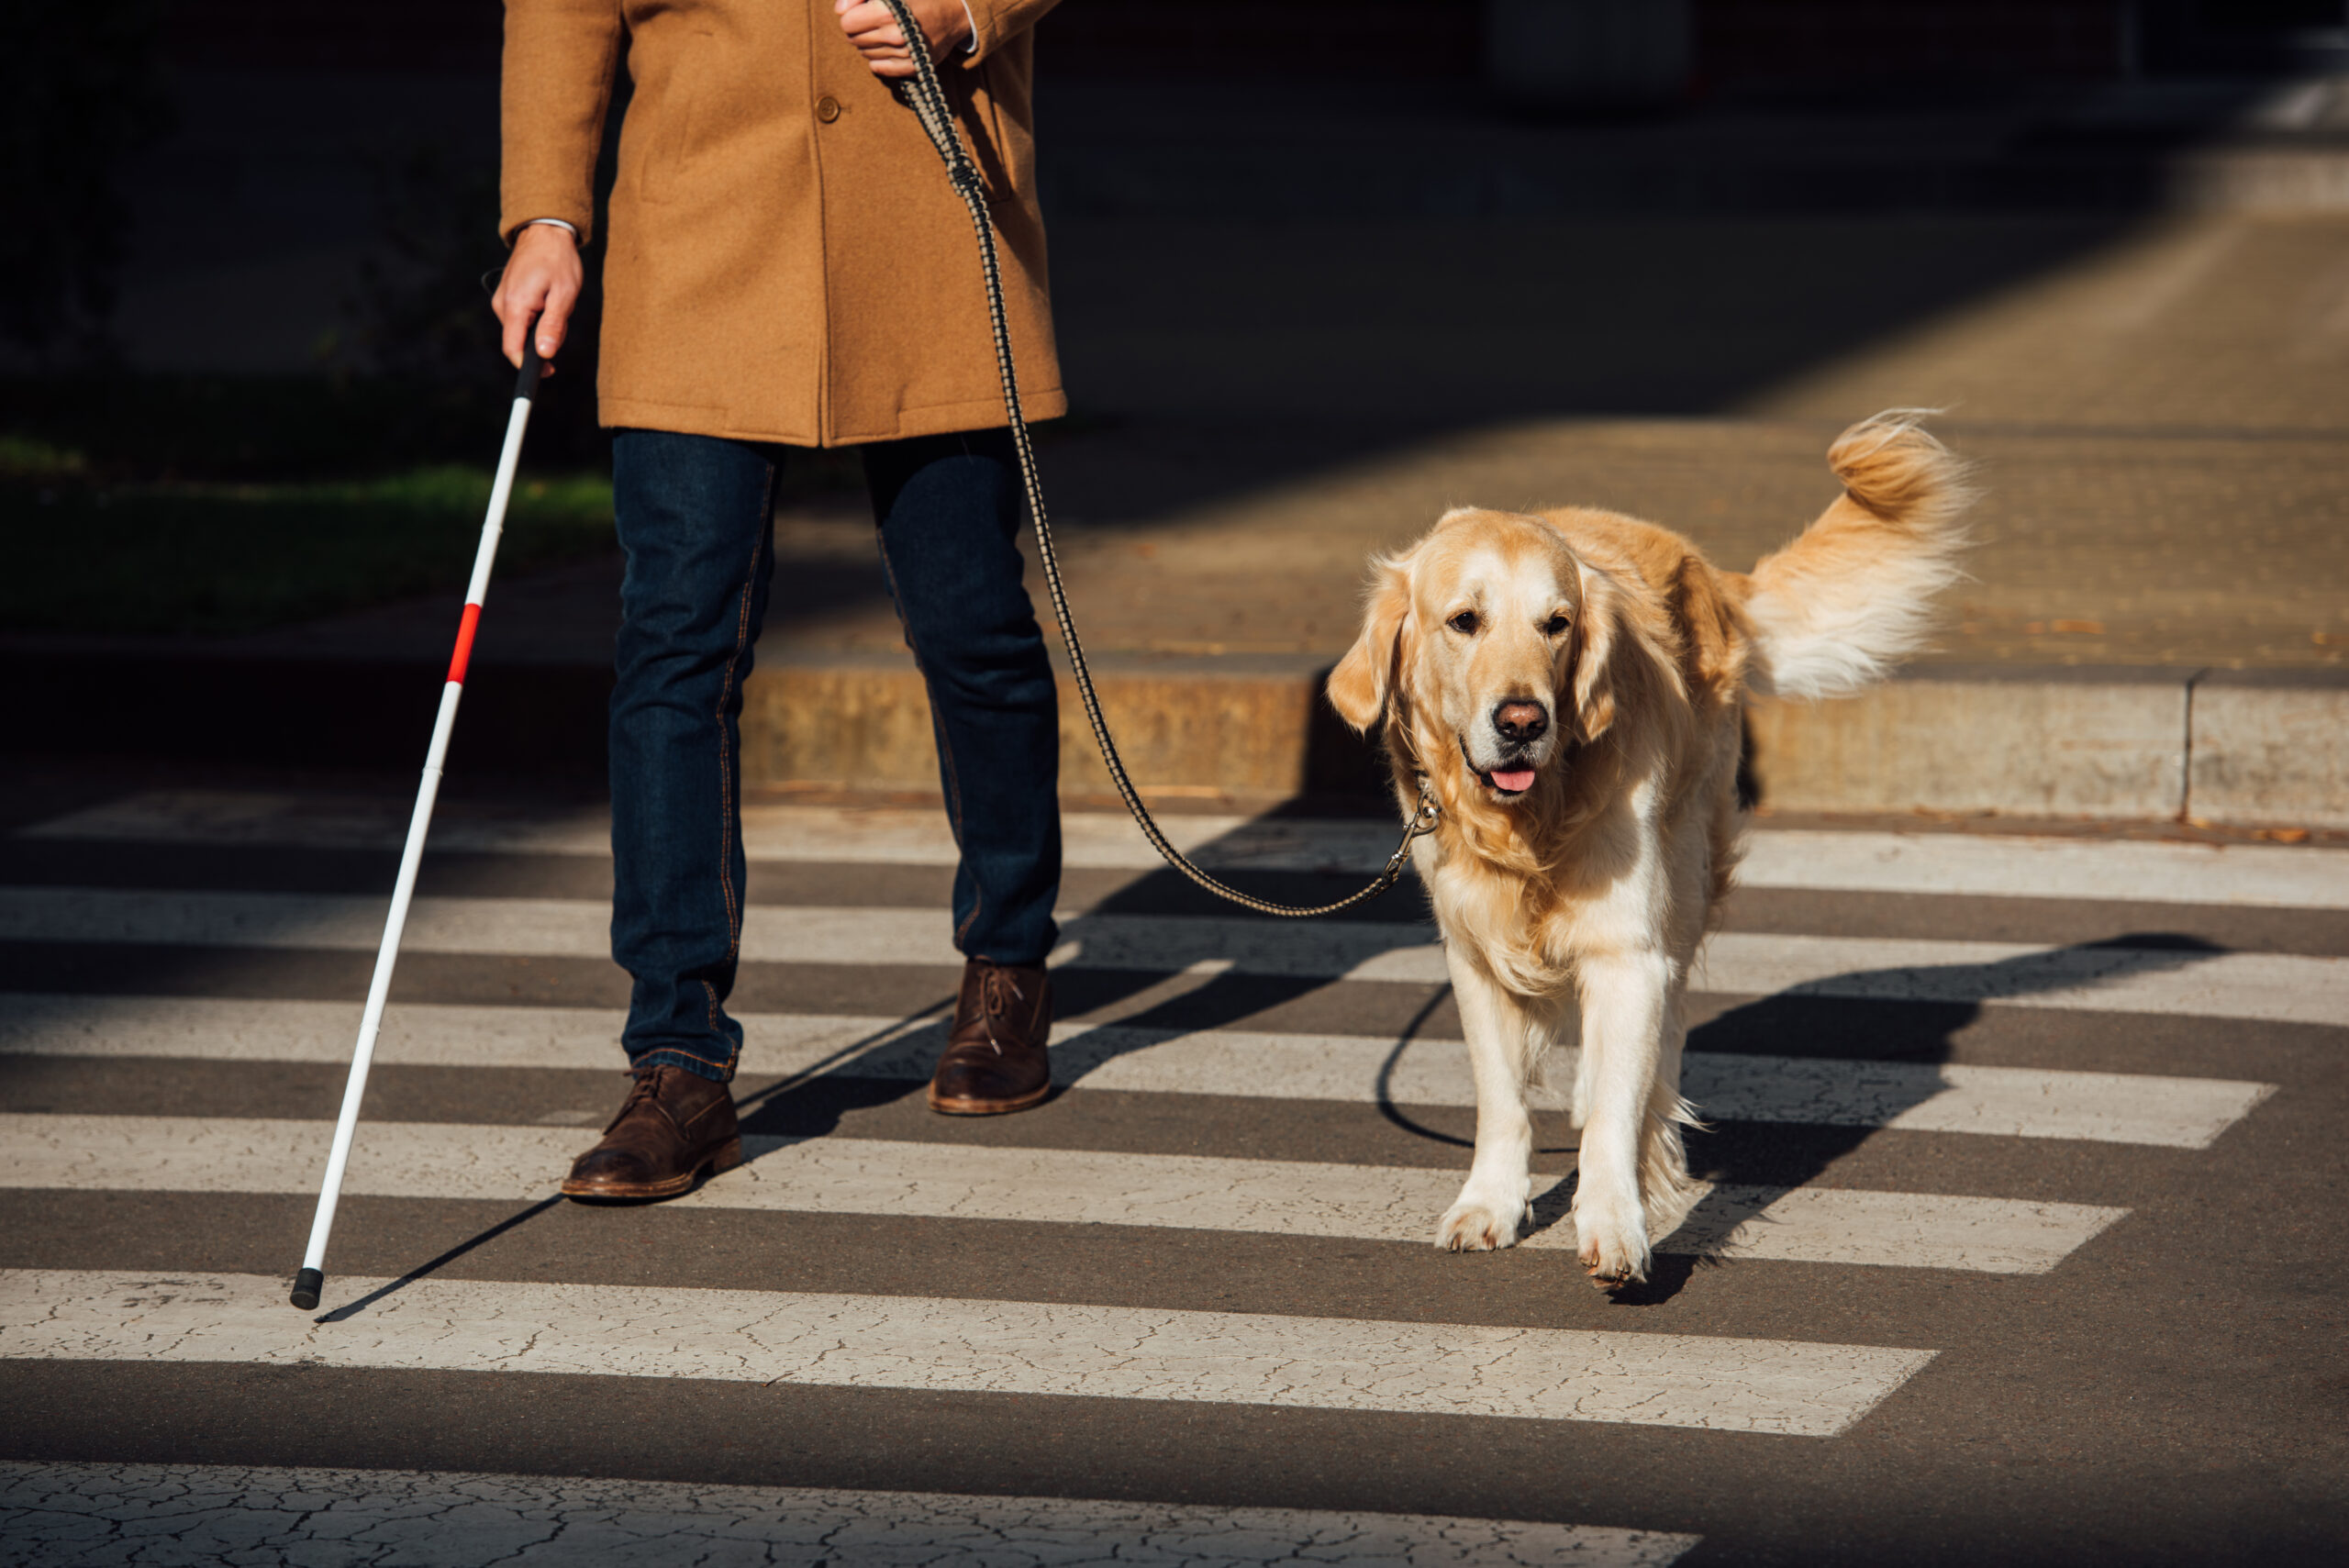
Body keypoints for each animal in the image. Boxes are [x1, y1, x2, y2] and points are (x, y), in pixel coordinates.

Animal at [1334, 413, 1973, 1285]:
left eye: (1557, 623)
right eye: (1464, 620)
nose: (1524, 721)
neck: (1531, 823)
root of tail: (1702, 564)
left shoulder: (1625, 947)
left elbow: (1616, 1110)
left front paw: (1614, 1221)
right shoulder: (1474, 952)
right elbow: (1502, 1099)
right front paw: (1490, 1201)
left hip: (1685, 868)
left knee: (1664, 1028)